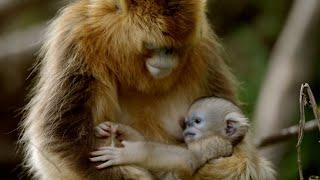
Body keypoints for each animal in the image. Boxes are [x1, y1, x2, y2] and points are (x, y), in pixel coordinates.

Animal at [21, 0, 238, 179]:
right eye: (154, 45)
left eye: (176, 47)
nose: (168, 54)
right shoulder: (77, 36)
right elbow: (60, 136)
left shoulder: (203, 47)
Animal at [90, 96, 255, 179]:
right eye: (186, 124)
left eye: (197, 121)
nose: (187, 129)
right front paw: (115, 127)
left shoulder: (214, 143)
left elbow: (189, 159)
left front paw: (128, 153)